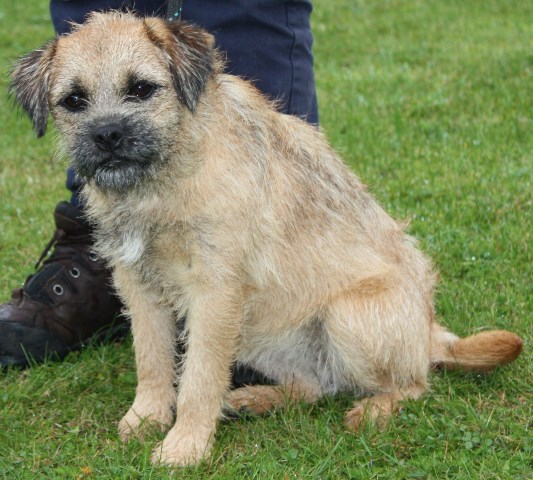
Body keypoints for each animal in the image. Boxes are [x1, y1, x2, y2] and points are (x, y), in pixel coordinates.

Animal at [10, 11, 520, 466]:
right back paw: (255, 399)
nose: (107, 135)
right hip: (260, 332)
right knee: (315, 387)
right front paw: (147, 418)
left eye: (140, 88)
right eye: (74, 100)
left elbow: (198, 377)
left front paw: (184, 446)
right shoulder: (140, 287)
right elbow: (152, 360)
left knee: (413, 384)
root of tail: (432, 334)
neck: (164, 179)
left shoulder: (214, 294)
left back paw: (373, 410)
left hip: (345, 318)